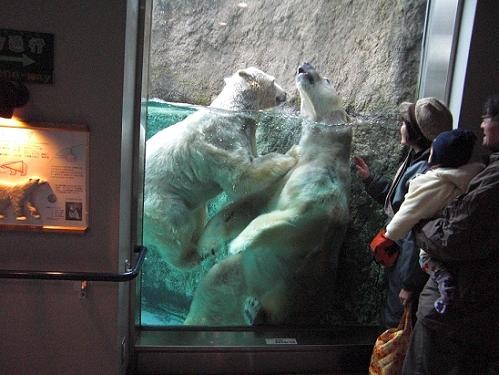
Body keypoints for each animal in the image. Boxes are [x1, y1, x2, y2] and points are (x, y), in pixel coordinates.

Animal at [144, 67, 296, 268]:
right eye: (273, 80)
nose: (285, 94)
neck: (232, 112)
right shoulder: (221, 140)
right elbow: (240, 177)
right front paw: (284, 158)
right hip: (159, 202)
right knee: (176, 227)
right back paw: (192, 255)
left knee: (197, 213)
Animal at [184, 63, 352, 324]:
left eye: (328, 80)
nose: (305, 65)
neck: (319, 156)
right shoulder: (284, 178)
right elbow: (248, 205)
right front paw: (206, 244)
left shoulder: (324, 193)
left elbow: (287, 216)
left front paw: (238, 243)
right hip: (240, 275)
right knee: (214, 287)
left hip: (291, 301)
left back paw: (254, 312)